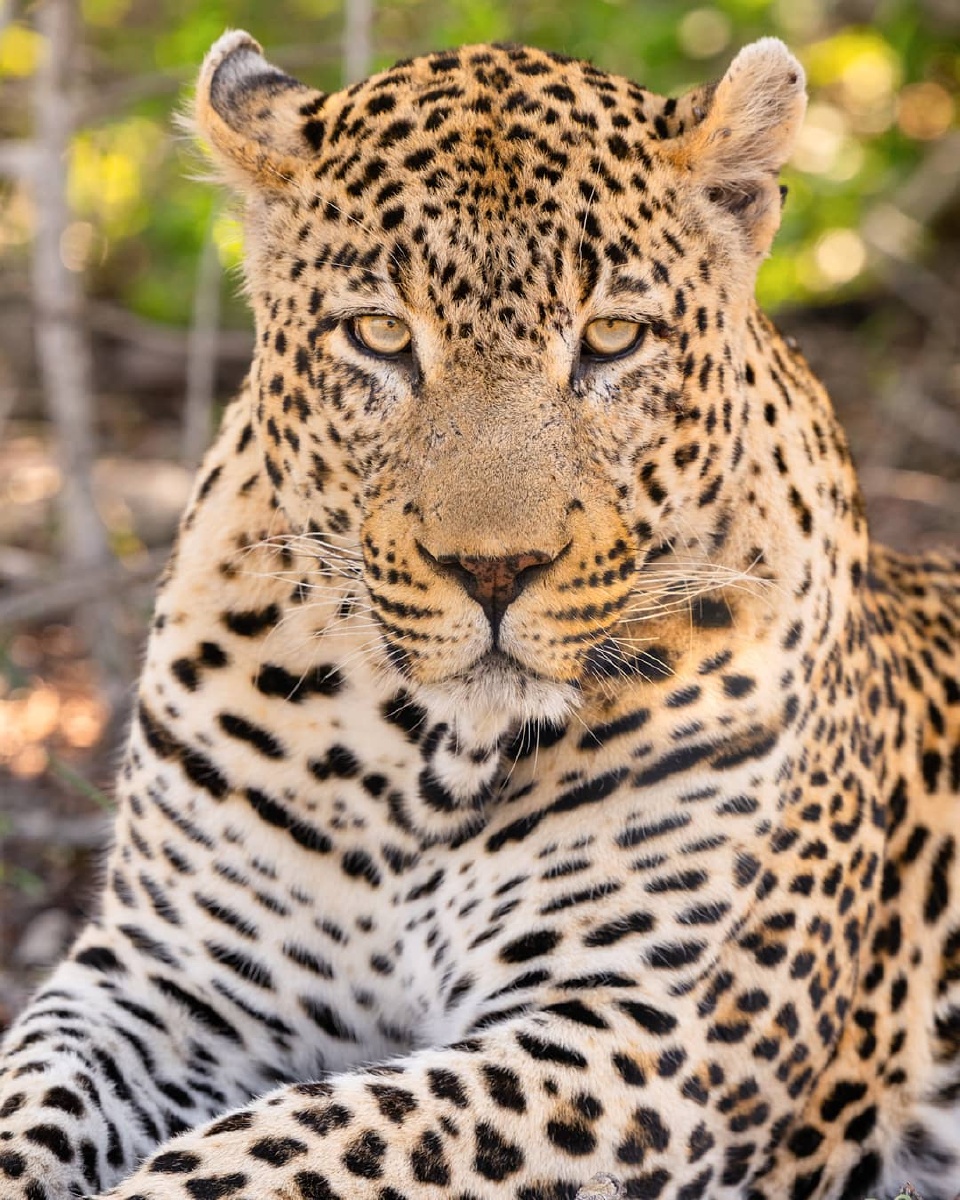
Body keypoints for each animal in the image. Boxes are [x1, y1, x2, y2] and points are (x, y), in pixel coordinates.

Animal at [1, 27, 959, 1200]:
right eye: (379, 335)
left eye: (611, 337)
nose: (494, 570)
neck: (424, 762)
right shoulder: (163, 978)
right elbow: (31, 1095)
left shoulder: (652, 1033)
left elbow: (300, 1139)